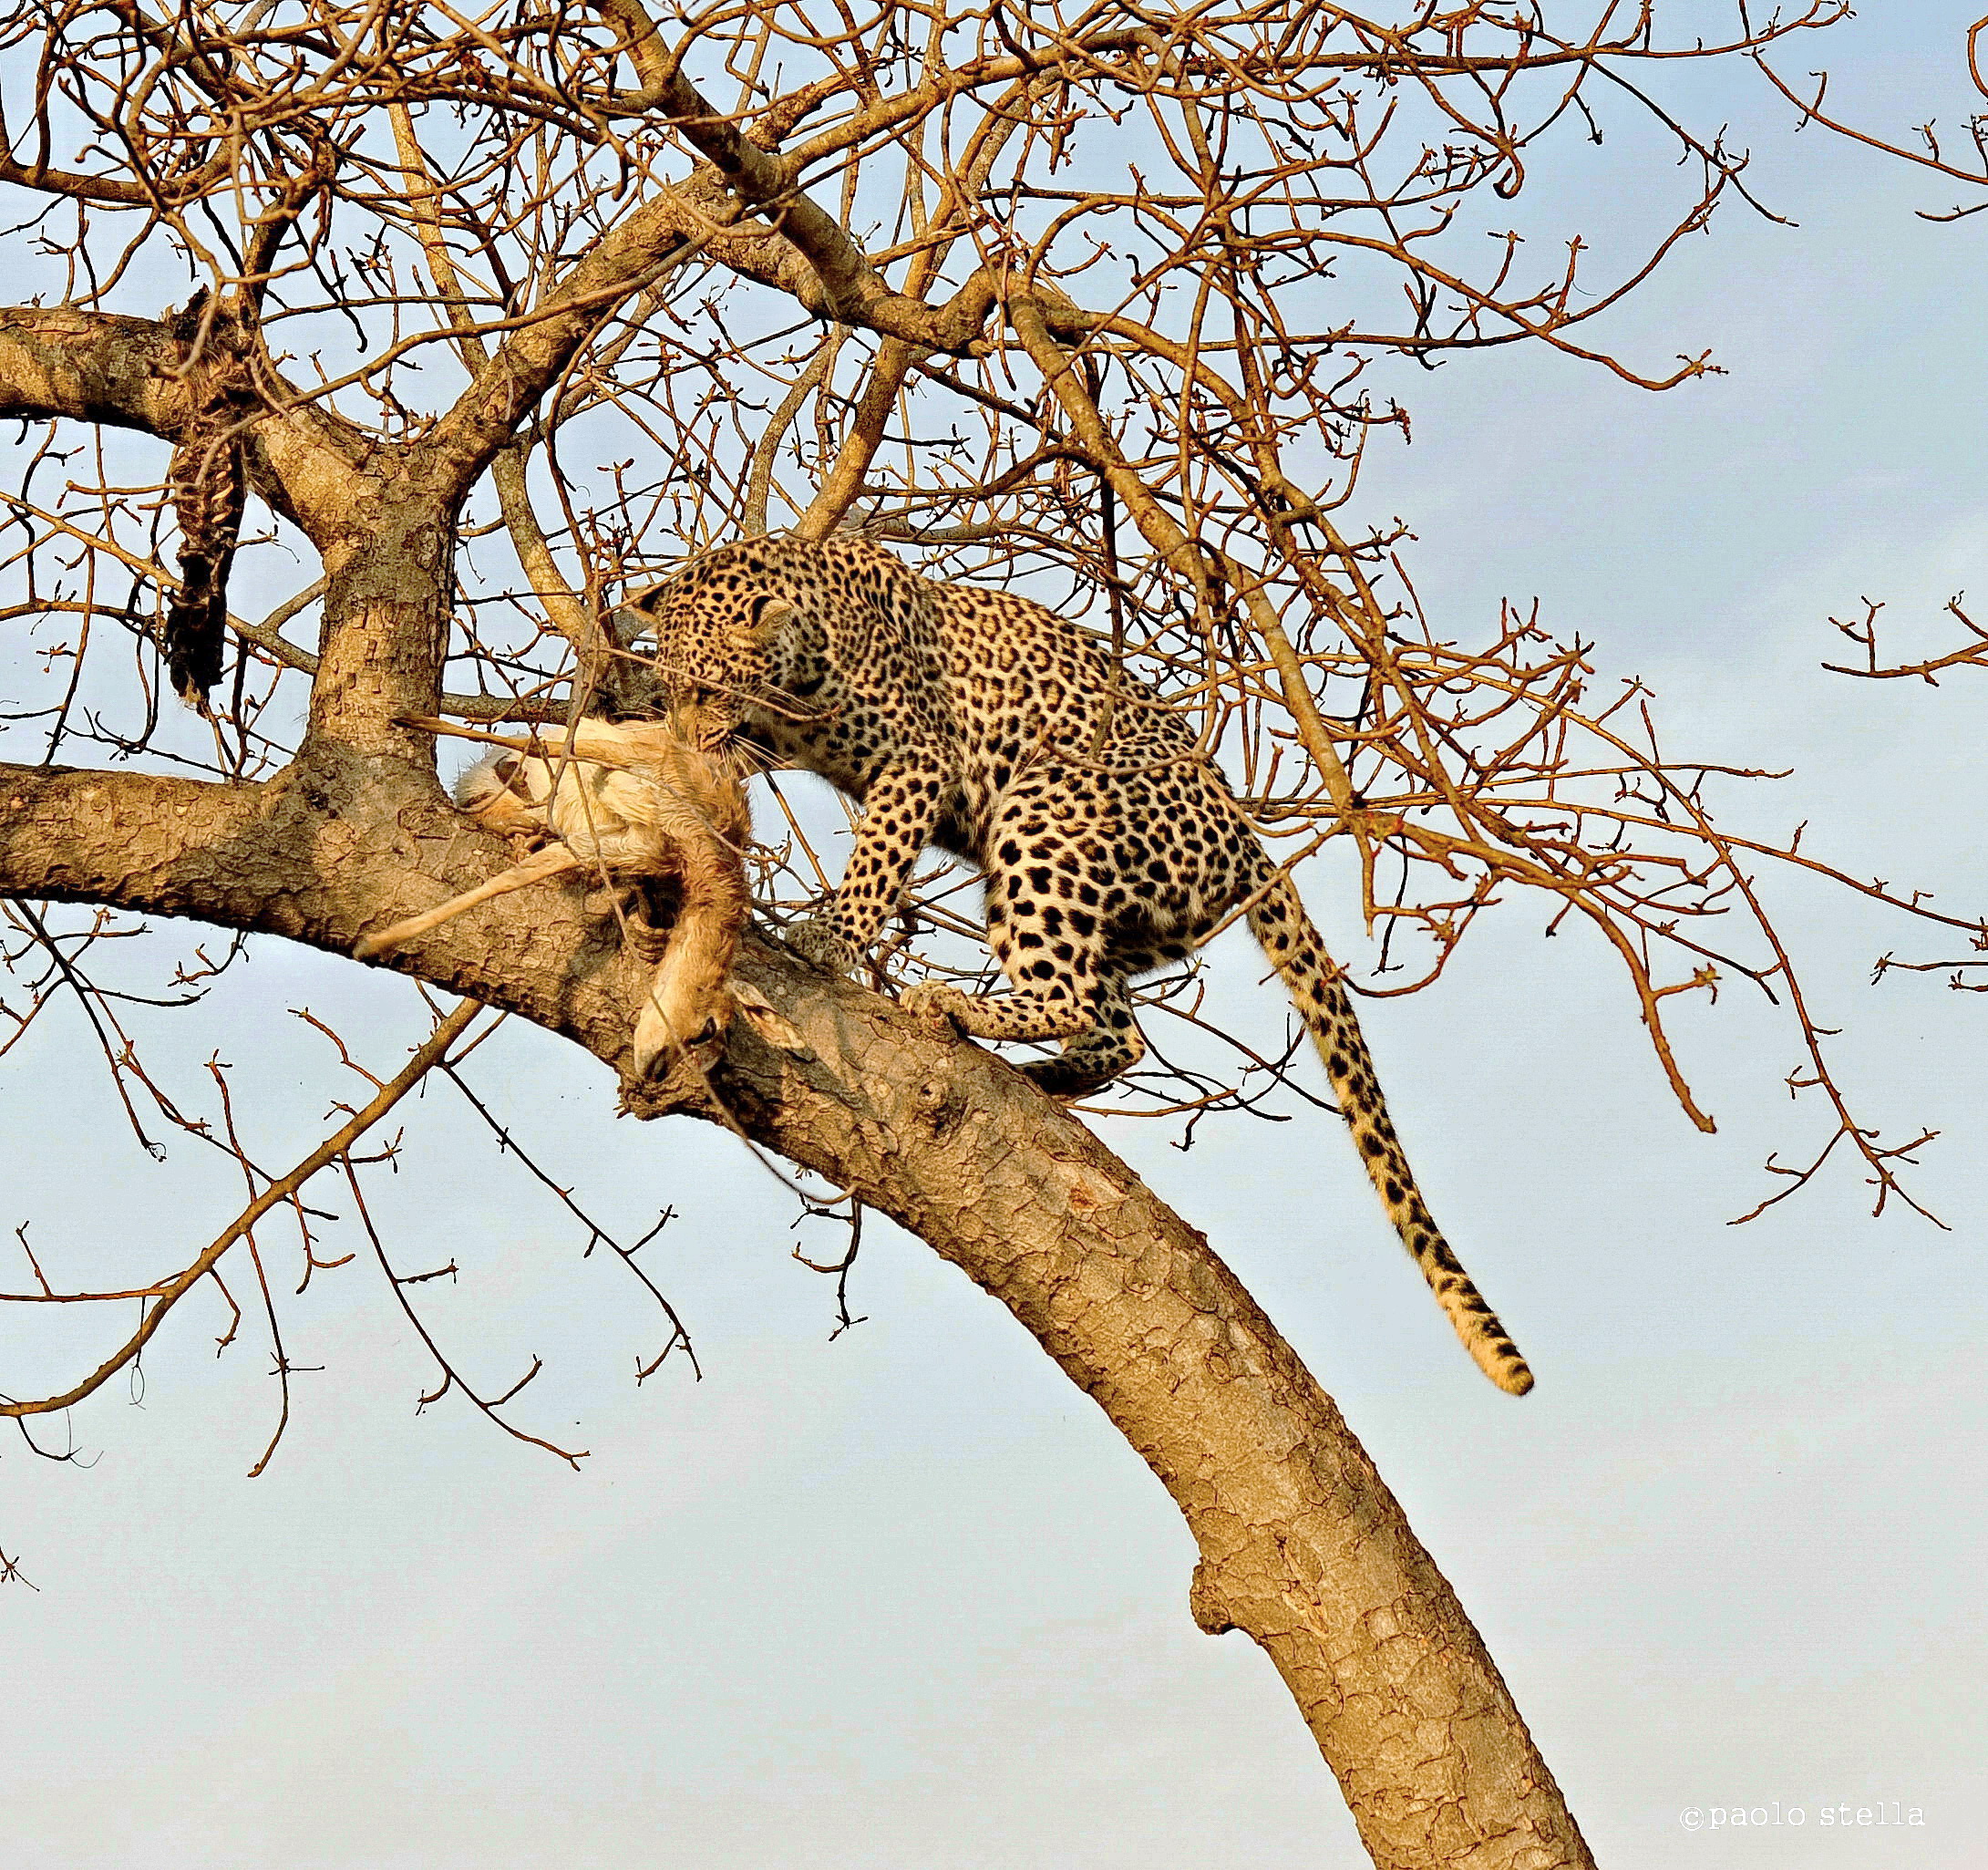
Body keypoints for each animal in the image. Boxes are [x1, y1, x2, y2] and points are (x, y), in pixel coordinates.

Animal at [615, 534, 1531, 1394]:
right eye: (673, 689)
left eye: (709, 687)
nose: (686, 729)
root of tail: (1248, 846)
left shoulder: (916, 759)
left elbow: (876, 855)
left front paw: (831, 935)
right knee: (1114, 1025)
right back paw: (1043, 1073)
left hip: (1041, 807)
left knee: (1071, 996)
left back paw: (955, 1008)